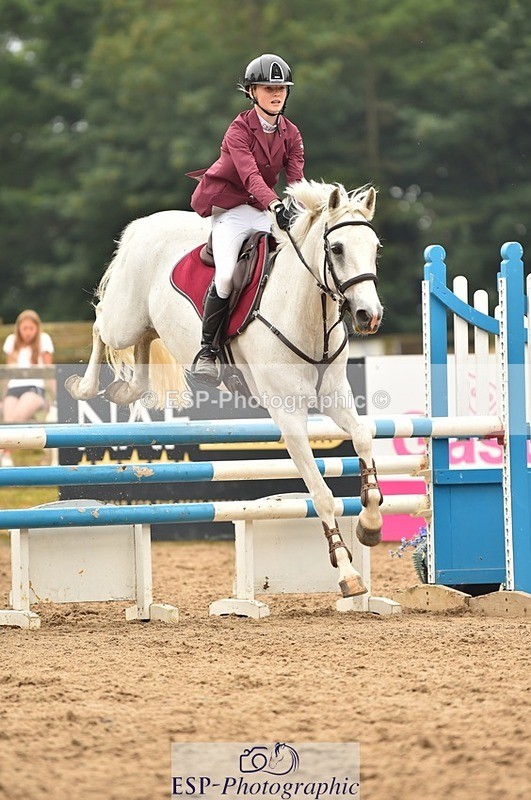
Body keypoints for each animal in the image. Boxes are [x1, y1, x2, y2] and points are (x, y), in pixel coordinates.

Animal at [66, 179, 384, 599]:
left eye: (375, 247)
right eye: (338, 249)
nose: (369, 316)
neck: (305, 312)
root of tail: (143, 224)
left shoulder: (335, 397)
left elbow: (363, 437)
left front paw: (371, 524)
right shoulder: (288, 415)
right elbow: (321, 494)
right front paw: (347, 572)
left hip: (147, 324)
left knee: (143, 346)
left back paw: (126, 392)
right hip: (126, 320)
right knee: (102, 323)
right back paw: (84, 386)